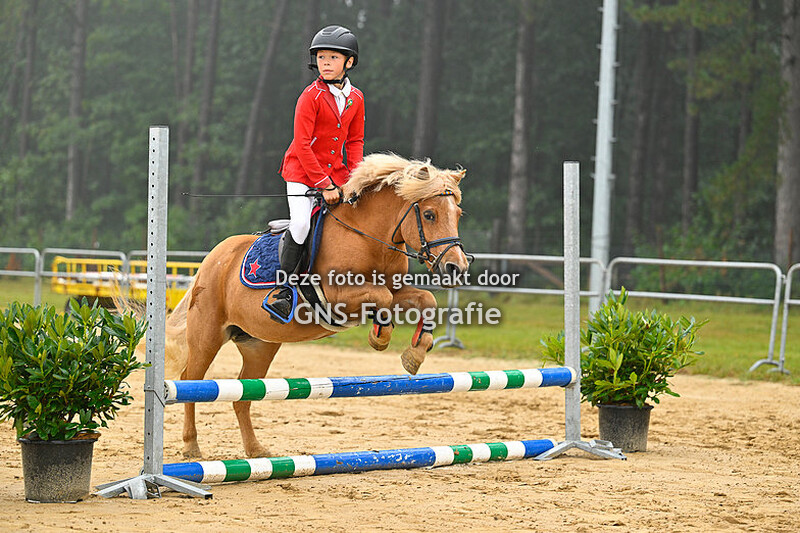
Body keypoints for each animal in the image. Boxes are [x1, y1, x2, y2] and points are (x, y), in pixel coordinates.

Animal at [164, 153, 472, 458]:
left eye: (457, 215)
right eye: (430, 215)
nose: (456, 267)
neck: (366, 237)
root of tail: (213, 258)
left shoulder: (397, 291)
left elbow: (424, 300)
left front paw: (415, 353)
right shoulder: (336, 296)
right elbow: (382, 297)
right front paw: (380, 336)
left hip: (258, 345)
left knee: (243, 395)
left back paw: (256, 450)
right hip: (207, 337)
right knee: (191, 380)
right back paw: (191, 445)